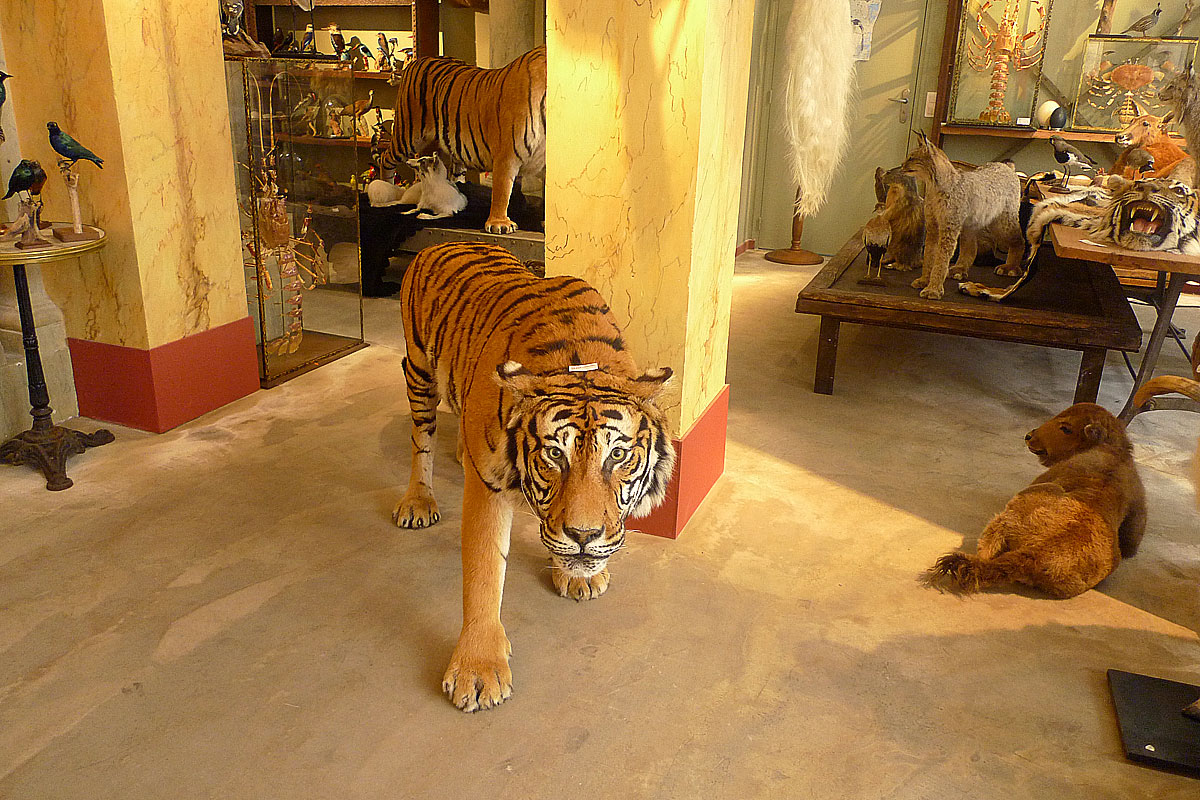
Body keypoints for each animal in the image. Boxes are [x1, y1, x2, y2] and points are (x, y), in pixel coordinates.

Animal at [380, 46, 546, 235]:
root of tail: (418, 60)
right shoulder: (506, 155)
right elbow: (502, 191)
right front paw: (499, 223)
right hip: (408, 135)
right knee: (385, 159)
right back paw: (385, 190)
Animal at [393, 241, 676, 712]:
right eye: (554, 454)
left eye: (617, 455)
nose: (585, 536)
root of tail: (441, 242)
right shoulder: (488, 487)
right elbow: (484, 572)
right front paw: (478, 669)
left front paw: (579, 574)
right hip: (418, 370)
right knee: (422, 439)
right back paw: (418, 500)